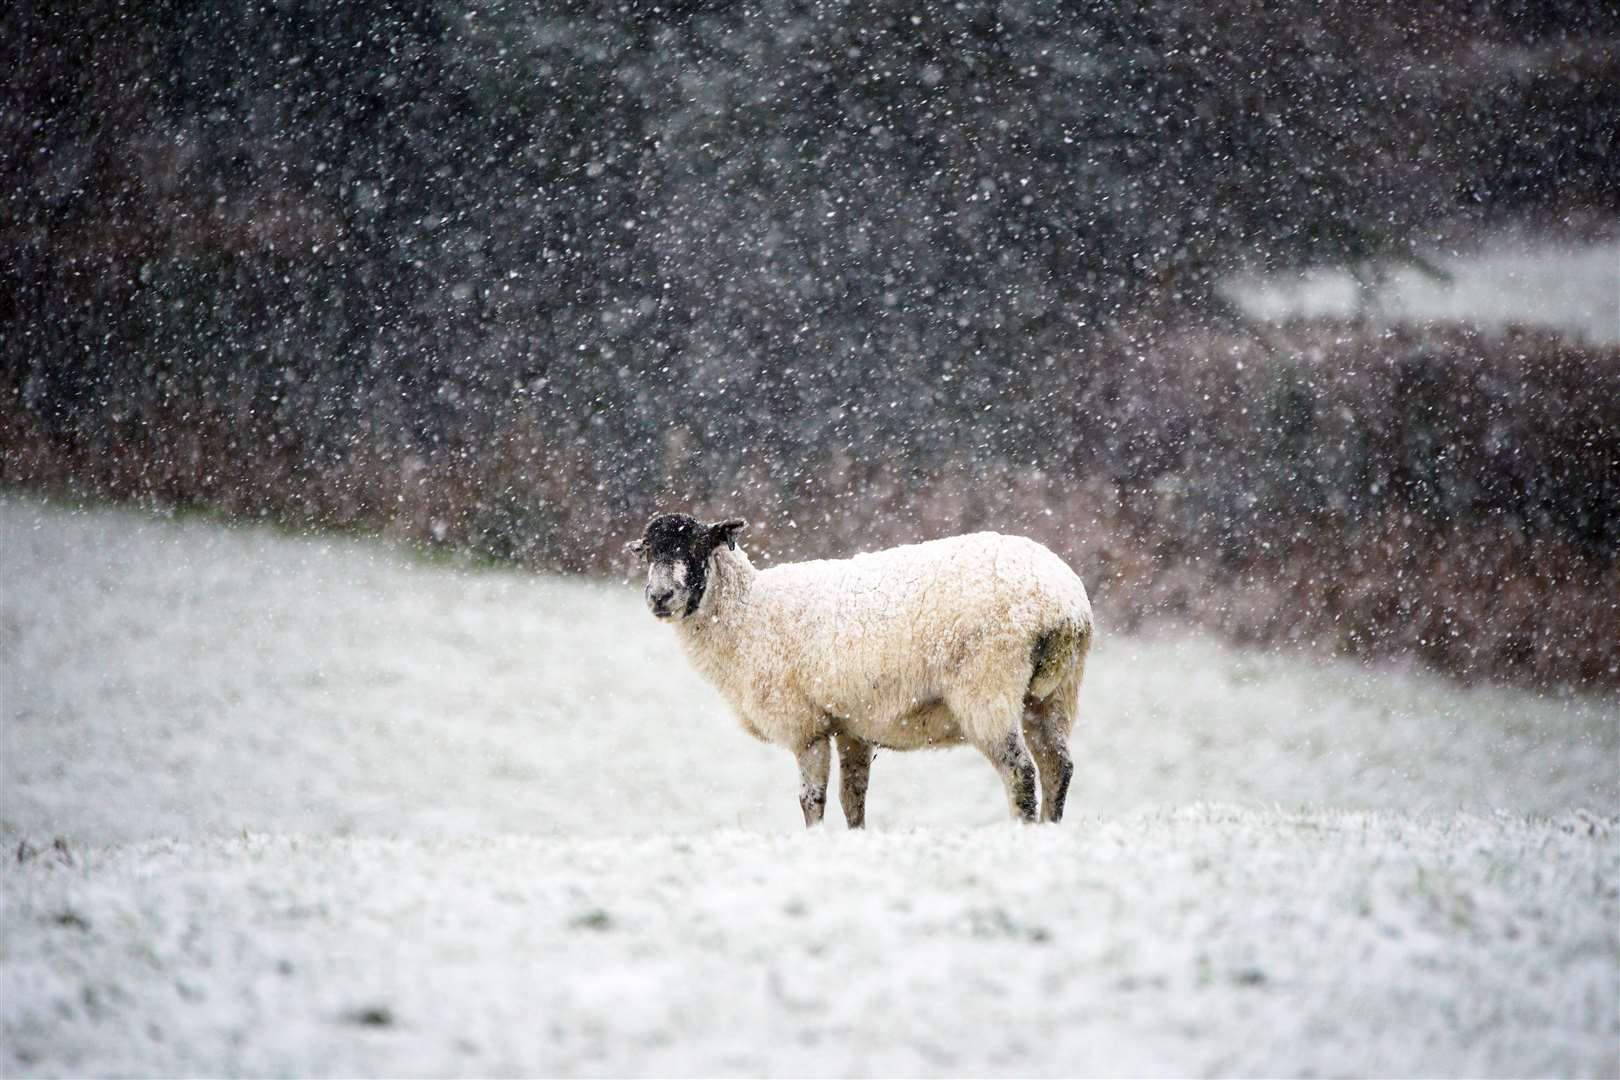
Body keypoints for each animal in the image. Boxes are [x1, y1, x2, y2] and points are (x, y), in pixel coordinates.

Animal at [625, 514, 1095, 829]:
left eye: (696, 548)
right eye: (648, 551)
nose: (659, 597)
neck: (749, 612)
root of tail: (1063, 605)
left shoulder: (806, 726)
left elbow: (811, 799)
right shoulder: (853, 726)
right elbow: (853, 798)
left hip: (988, 690)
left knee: (1021, 773)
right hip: (1054, 694)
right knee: (1059, 767)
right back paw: (1050, 830)